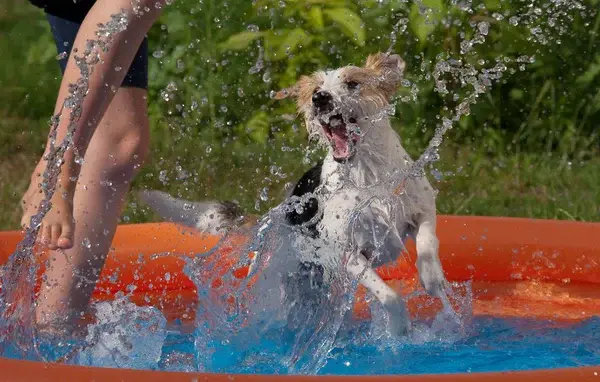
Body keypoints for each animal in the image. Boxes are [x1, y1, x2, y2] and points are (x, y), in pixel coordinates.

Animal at [139, 51, 450, 334]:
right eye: (315, 90)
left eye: (352, 83)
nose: (320, 98)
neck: (367, 176)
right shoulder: (346, 251)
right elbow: (388, 294)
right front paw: (400, 325)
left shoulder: (422, 205)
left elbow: (428, 239)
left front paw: (432, 277)